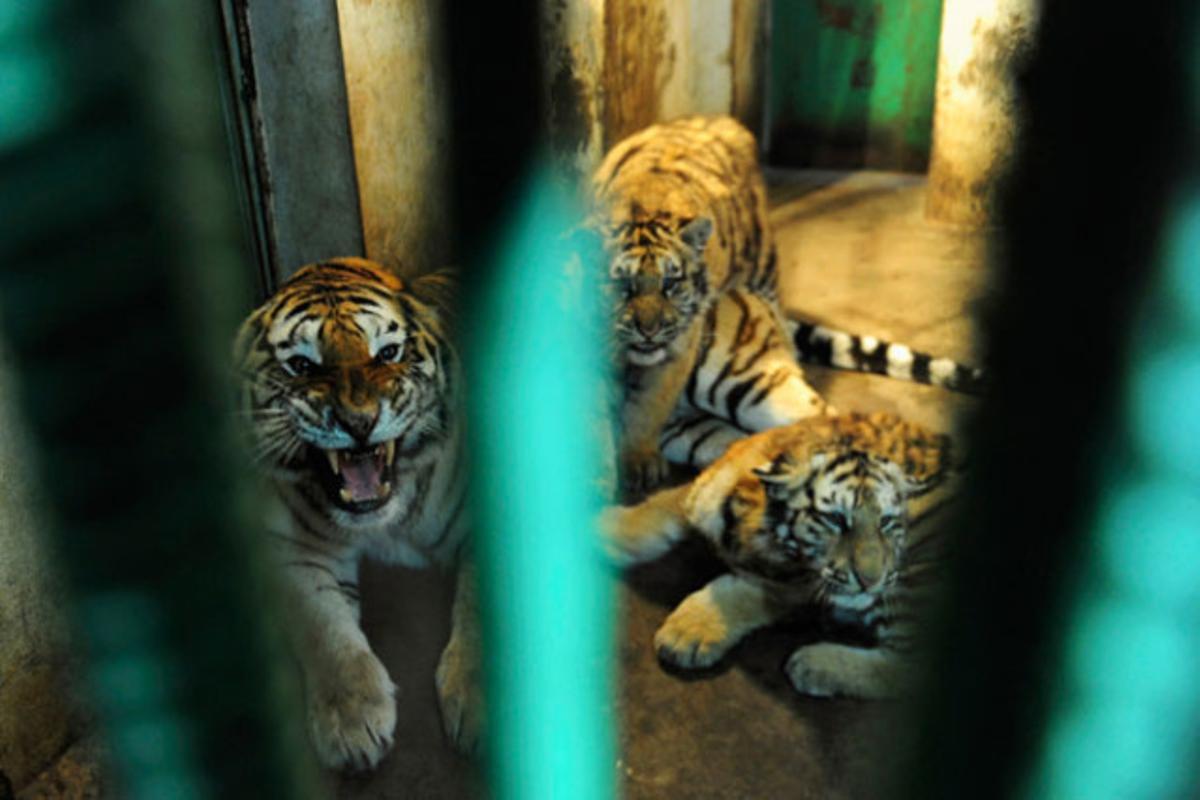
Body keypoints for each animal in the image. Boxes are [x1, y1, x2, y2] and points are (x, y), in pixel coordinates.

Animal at [233, 257, 479, 770]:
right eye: (302, 365)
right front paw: (351, 725)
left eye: (387, 353)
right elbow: (323, 627)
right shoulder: (295, 551)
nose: (359, 422)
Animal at [589, 115, 983, 493]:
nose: (650, 330)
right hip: (699, 426)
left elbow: (644, 404)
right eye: (621, 286)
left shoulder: (674, 354)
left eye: (671, 284)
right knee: (748, 446)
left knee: (830, 424)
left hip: (752, 378)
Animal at [599, 411, 960, 698]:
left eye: (887, 522)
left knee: (913, 669)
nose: (872, 580)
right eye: (835, 520)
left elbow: (742, 592)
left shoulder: (798, 584)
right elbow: (661, 506)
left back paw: (813, 664)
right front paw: (605, 530)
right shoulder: (700, 492)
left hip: (917, 576)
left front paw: (688, 631)